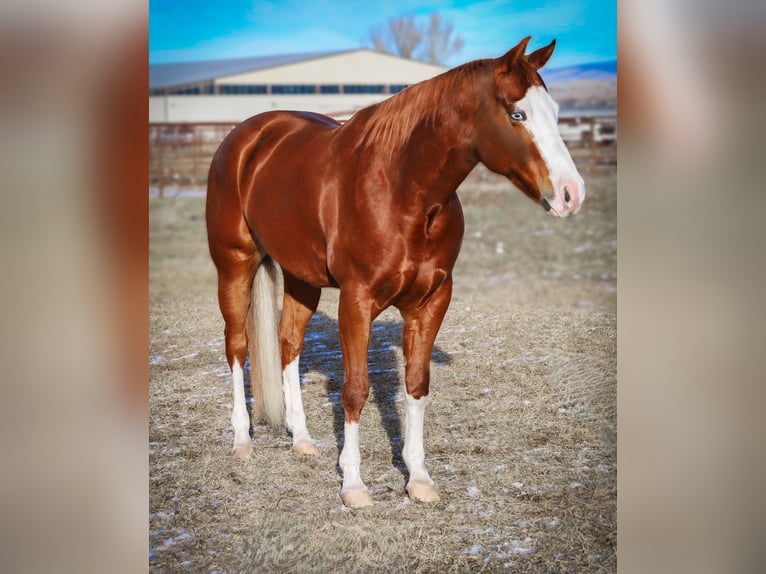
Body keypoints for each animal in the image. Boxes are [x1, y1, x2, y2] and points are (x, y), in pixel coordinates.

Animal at [206, 36, 585, 508]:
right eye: (518, 114)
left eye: (555, 111)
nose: (572, 194)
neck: (403, 189)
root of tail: (246, 137)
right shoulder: (357, 301)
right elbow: (355, 389)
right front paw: (353, 485)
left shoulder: (431, 302)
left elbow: (416, 384)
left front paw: (418, 478)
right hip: (234, 266)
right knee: (237, 346)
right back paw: (242, 441)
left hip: (301, 279)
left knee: (288, 343)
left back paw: (303, 439)